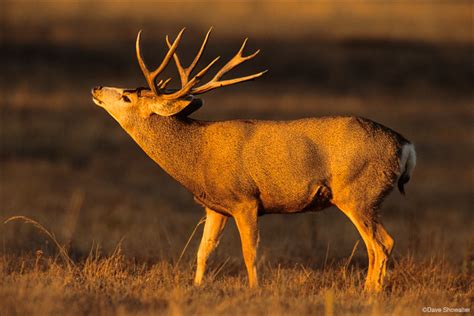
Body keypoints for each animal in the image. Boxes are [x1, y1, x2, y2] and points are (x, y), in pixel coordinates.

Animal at [91, 27, 414, 292]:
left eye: (127, 97)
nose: (96, 87)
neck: (197, 155)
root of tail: (405, 145)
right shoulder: (215, 206)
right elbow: (203, 251)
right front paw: (196, 287)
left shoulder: (245, 199)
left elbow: (250, 252)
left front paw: (254, 290)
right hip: (364, 198)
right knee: (379, 244)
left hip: (357, 194)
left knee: (381, 243)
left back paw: (370, 292)